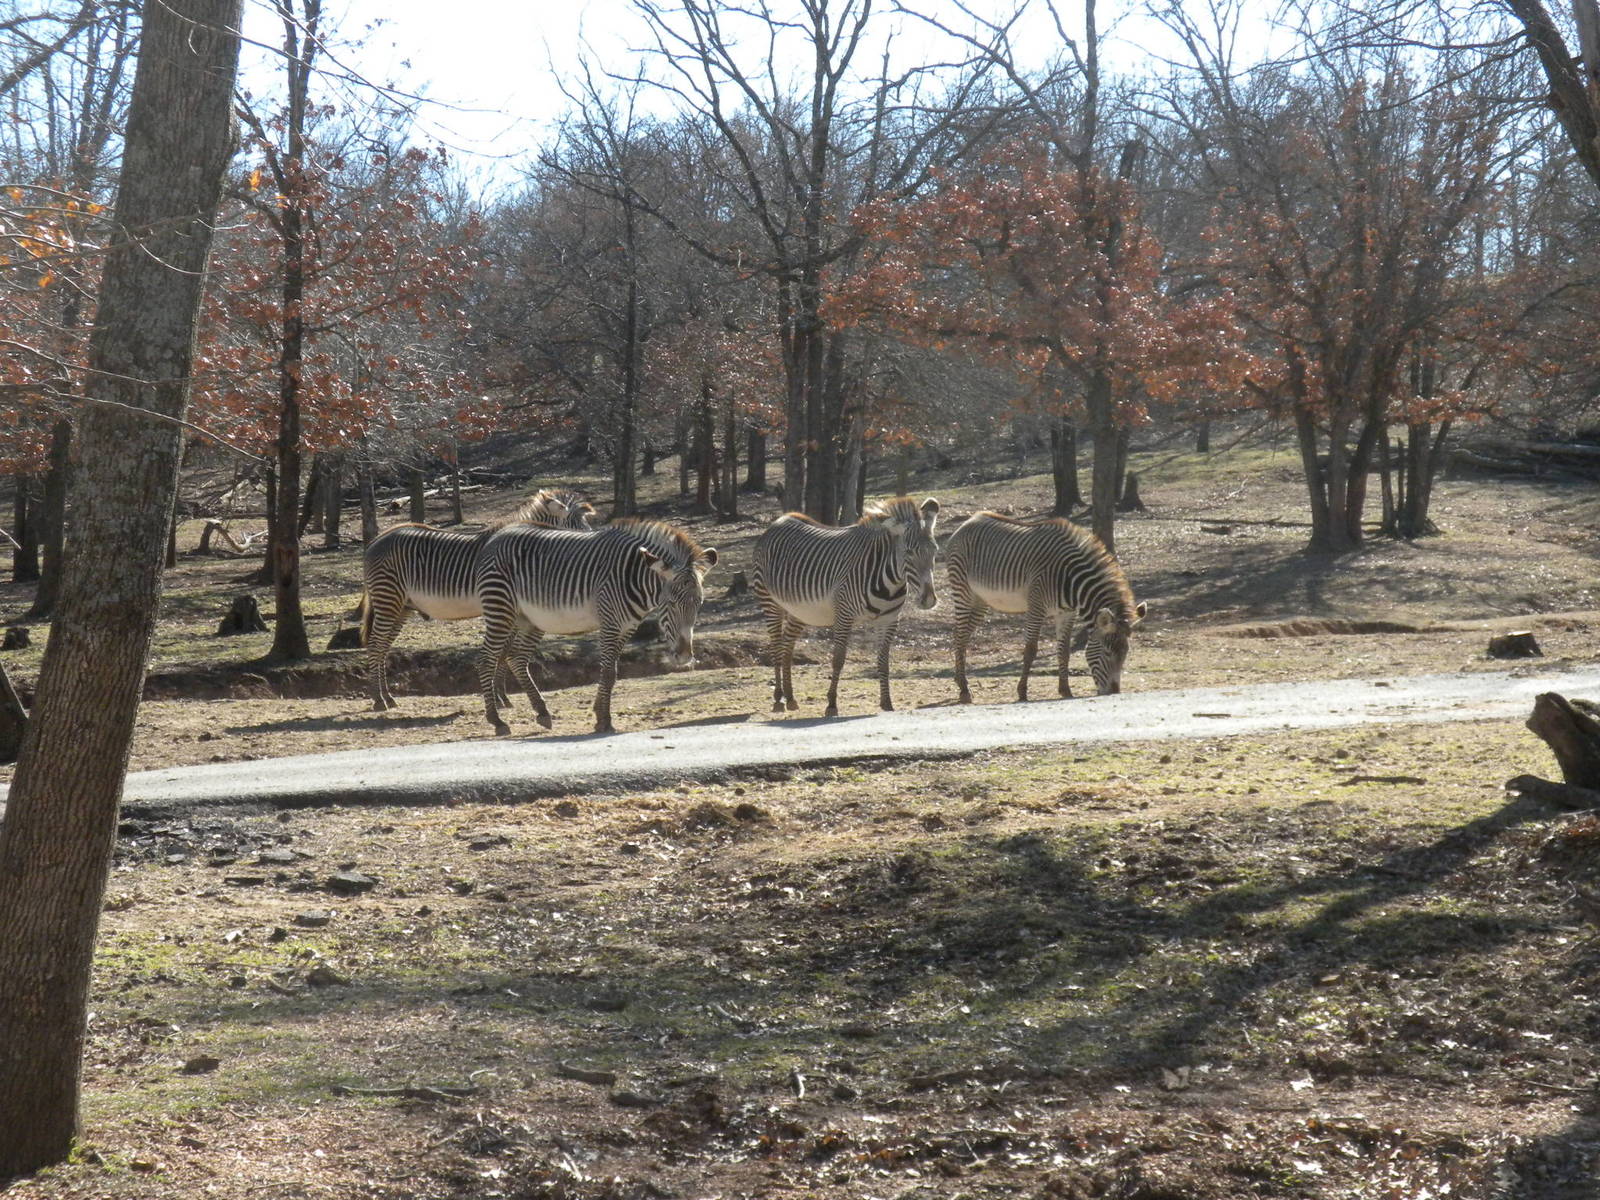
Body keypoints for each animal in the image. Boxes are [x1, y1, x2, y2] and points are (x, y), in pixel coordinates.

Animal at [357, 488, 596, 711]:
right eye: (579, 526)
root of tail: (377, 539)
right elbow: (500, 652)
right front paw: (499, 698)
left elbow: (503, 653)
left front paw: (502, 697)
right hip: (388, 599)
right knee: (375, 644)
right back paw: (379, 700)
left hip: (402, 606)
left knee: (383, 647)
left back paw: (388, 697)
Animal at [473, 518, 718, 735]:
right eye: (671, 603)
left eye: (699, 603)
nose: (685, 656)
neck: (634, 576)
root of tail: (497, 535)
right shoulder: (610, 623)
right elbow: (608, 672)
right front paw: (604, 720)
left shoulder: (626, 628)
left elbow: (611, 673)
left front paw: (599, 713)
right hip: (500, 608)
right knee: (486, 659)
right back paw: (497, 720)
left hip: (530, 619)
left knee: (516, 659)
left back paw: (542, 712)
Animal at [752, 496, 940, 718]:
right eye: (909, 552)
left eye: (935, 551)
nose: (929, 600)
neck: (889, 583)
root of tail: (779, 520)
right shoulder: (844, 615)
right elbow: (838, 660)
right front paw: (832, 704)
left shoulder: (889, 620)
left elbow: (883, 661)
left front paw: (887, 703)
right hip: (769, 601)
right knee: (776, 645)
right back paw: (778, 699)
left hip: (800, 610)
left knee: (788, 644)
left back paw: (790, 698)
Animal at [945, 511, 1146, 703]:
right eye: (1107, 652)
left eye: (1126, 654)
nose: (1113, 692)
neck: (1071, 579)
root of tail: (970, 520)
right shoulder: (1036, 607)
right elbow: (1030, 650)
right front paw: (1022, 692)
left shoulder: (1066, 613)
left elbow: (1064, 651)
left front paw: (1065, 690)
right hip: (963, 592)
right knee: (960, 636)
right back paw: (964, 691)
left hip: (980, 601)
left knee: (961, 635)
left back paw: (959, 681)